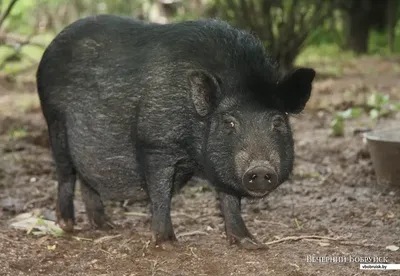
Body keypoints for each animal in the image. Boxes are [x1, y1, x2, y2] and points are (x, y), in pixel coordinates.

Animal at [36, 14, 314, 249]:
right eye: (229, 123)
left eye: (278, 122)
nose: (260, 169)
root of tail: (50, 47)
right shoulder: (154, 143)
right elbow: (160, 193)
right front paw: (167, 244)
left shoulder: (218, 164)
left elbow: (230, 199)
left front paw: (251, 244)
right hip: (54, 121)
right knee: (66, 173)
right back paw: (68, 225)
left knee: (86, 178)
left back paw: (106, 225)